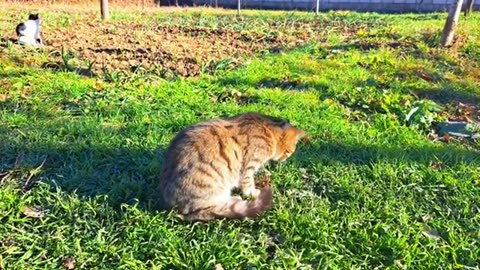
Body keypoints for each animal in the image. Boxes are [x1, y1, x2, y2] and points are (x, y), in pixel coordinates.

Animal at [159, 113, 306, 220]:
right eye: (288, 152)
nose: (285, 159)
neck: (268, 131)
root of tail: (172, 208)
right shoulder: (248, 166)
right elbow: (247, 184)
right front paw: (252, 192)